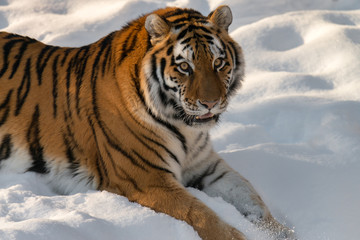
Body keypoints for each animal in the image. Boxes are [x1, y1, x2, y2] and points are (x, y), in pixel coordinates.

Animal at [0, 4, 296, 240]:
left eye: (219, 62)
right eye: (185, 67)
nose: (210, 103)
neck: (186, 128)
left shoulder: (206, 166)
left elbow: (252, 199)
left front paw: (282, 233)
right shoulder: (148, 179)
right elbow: (201, 214)